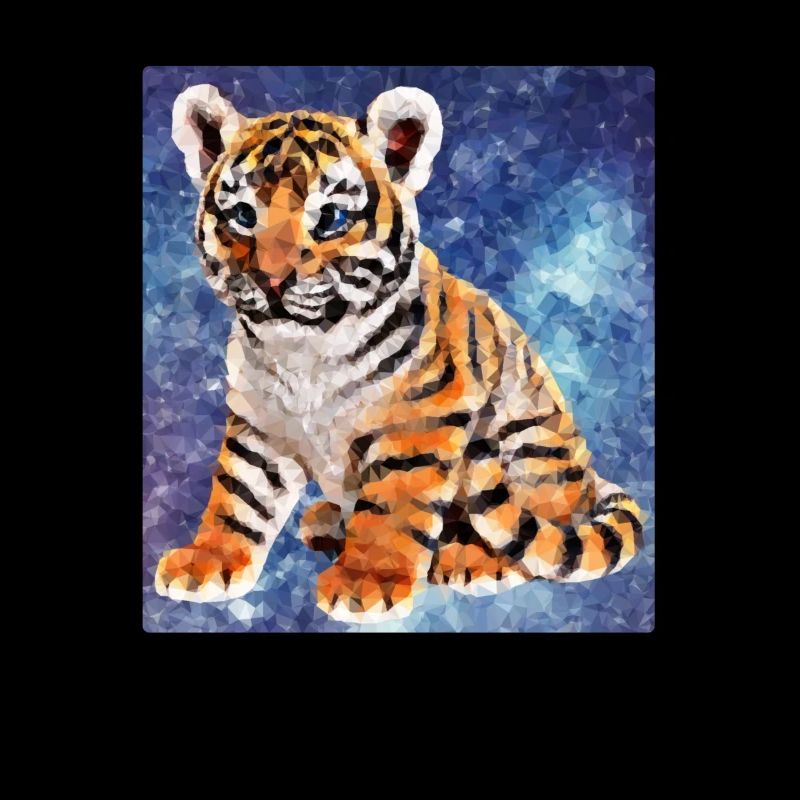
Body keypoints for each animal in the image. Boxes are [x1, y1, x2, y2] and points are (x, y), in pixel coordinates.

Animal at [154, 83, 644, 623]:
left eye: (330, 219)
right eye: (243, 216)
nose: (271, 281)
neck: (304, 350)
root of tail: (591, 489)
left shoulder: (417, 422)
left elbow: (392, 505)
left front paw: (366, 582)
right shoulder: (259, 423)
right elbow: (240, 496)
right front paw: (206, 561)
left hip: (528, 445)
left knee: (535, 539)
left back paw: (471, 561)